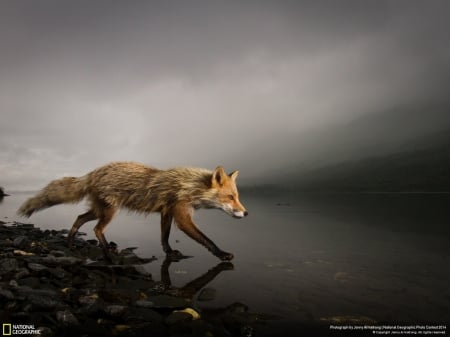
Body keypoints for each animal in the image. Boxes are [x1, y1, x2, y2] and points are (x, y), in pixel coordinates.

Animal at [18, 161, 250, 262]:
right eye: (230, 197)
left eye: (237, 196)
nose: (247, 213)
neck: (188, 185)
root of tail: (92, 172)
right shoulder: (181, 215)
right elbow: (206, 239)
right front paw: (221, 254)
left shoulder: (166, 212)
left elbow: (164, 236)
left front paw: (169, 252)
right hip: (110, 211)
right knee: (96, 229)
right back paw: (106, 250)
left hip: (99, 210)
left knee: (79, 218)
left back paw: (70, 242)